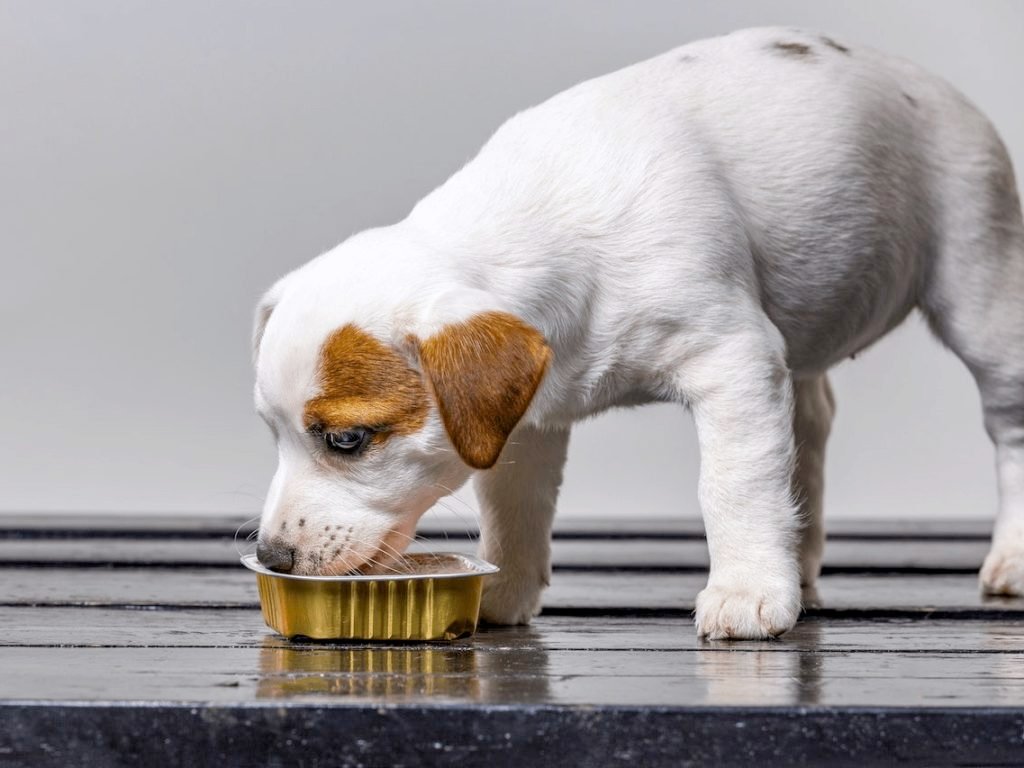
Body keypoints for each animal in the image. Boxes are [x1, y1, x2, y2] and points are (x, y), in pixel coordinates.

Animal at [249, 28, 1024, 643]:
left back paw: (1010, 556)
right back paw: (797, 559)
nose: (275, 558)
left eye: (348, 440)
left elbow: (734, 484)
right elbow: (516, 506)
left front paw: (745, 589)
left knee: (1008, 425)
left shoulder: (733, 362)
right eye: (273, 435)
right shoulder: (527, 420)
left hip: (981, 288)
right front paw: (503, 591)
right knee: (809, 425)